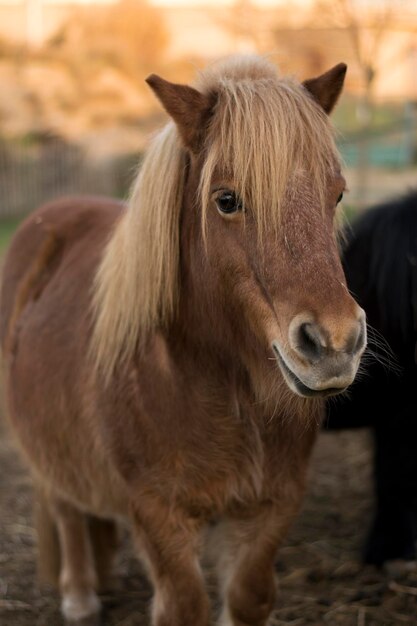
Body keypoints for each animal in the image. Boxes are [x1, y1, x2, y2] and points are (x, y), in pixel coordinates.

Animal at [0, 56, 364, 620]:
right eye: (227, 200)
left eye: (338, 193)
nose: (335, 344)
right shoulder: (157, 514)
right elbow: (185, 607)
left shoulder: (273, 505)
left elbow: (248, 597)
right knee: (63, 504)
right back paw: (80, 594)